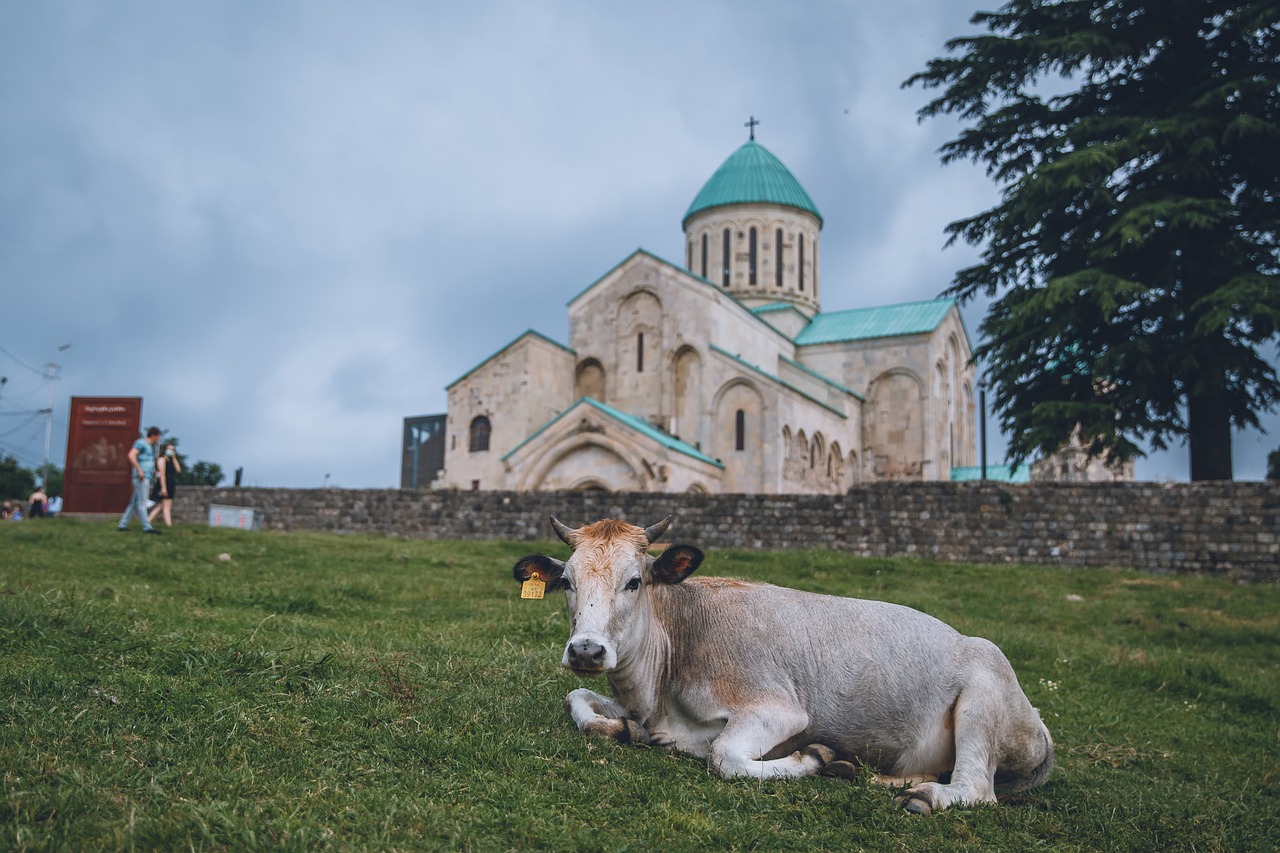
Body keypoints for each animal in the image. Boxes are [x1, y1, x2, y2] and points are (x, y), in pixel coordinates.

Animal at [514, 512, 1054, 809]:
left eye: (634, 581)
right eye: (567, 582)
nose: (587, 650)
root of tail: (1040, 726)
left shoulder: (778, 709)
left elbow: (725, 757)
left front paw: (814, 759)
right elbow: (576, 700)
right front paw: (625, 730)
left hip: (983, 694)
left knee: (976, 787)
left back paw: (921, 795)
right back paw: (877, 776)